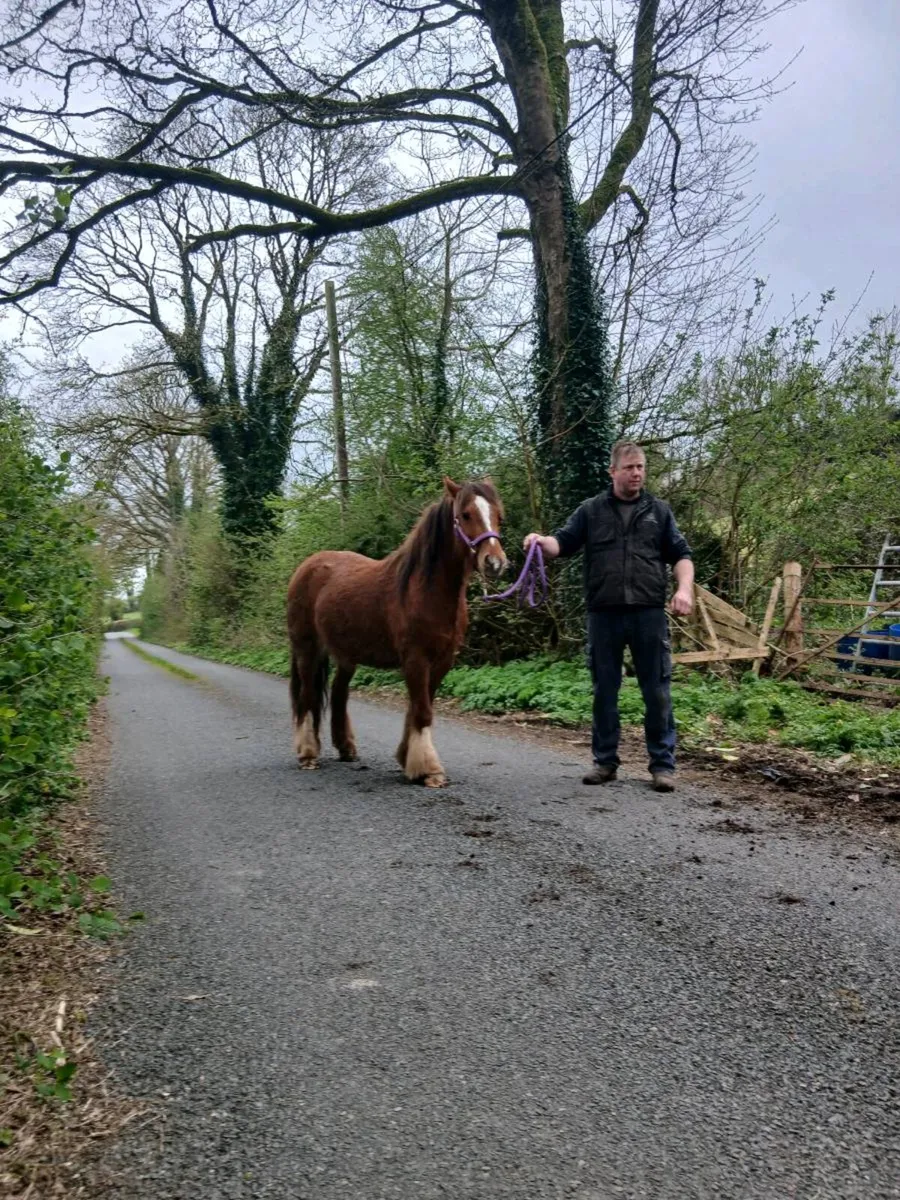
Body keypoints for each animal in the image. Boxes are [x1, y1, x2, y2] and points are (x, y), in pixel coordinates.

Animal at [286, 477, 508, 788]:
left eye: (499, 515)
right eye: (465, 515)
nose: (494, 562)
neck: (424, 590)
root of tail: (307, 566)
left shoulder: (442, 662)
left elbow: (418, 708)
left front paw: (407, 759)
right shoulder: (415, 659)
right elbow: (422, 711)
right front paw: (429, 770)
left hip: (346, 656)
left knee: (339, 694)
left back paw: (346, 749)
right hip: (307, 648)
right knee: (307, 697)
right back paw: (308, 754)